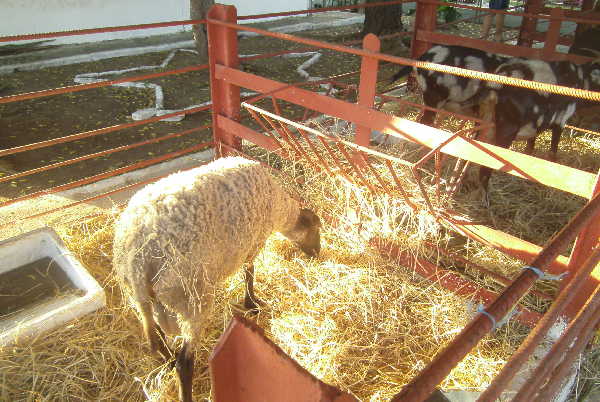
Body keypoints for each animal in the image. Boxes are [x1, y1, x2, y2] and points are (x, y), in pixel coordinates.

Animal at [110, 155, 322, 400]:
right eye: (316, 231)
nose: (318, 254)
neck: (280, 209)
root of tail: (137, 261)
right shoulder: (253, 243)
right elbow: (249, 273)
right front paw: (252, 304)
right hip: (191, 299)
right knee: (185, 362)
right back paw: (184, 383)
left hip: (146, 301)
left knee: (160, 339)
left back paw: (168, 361)